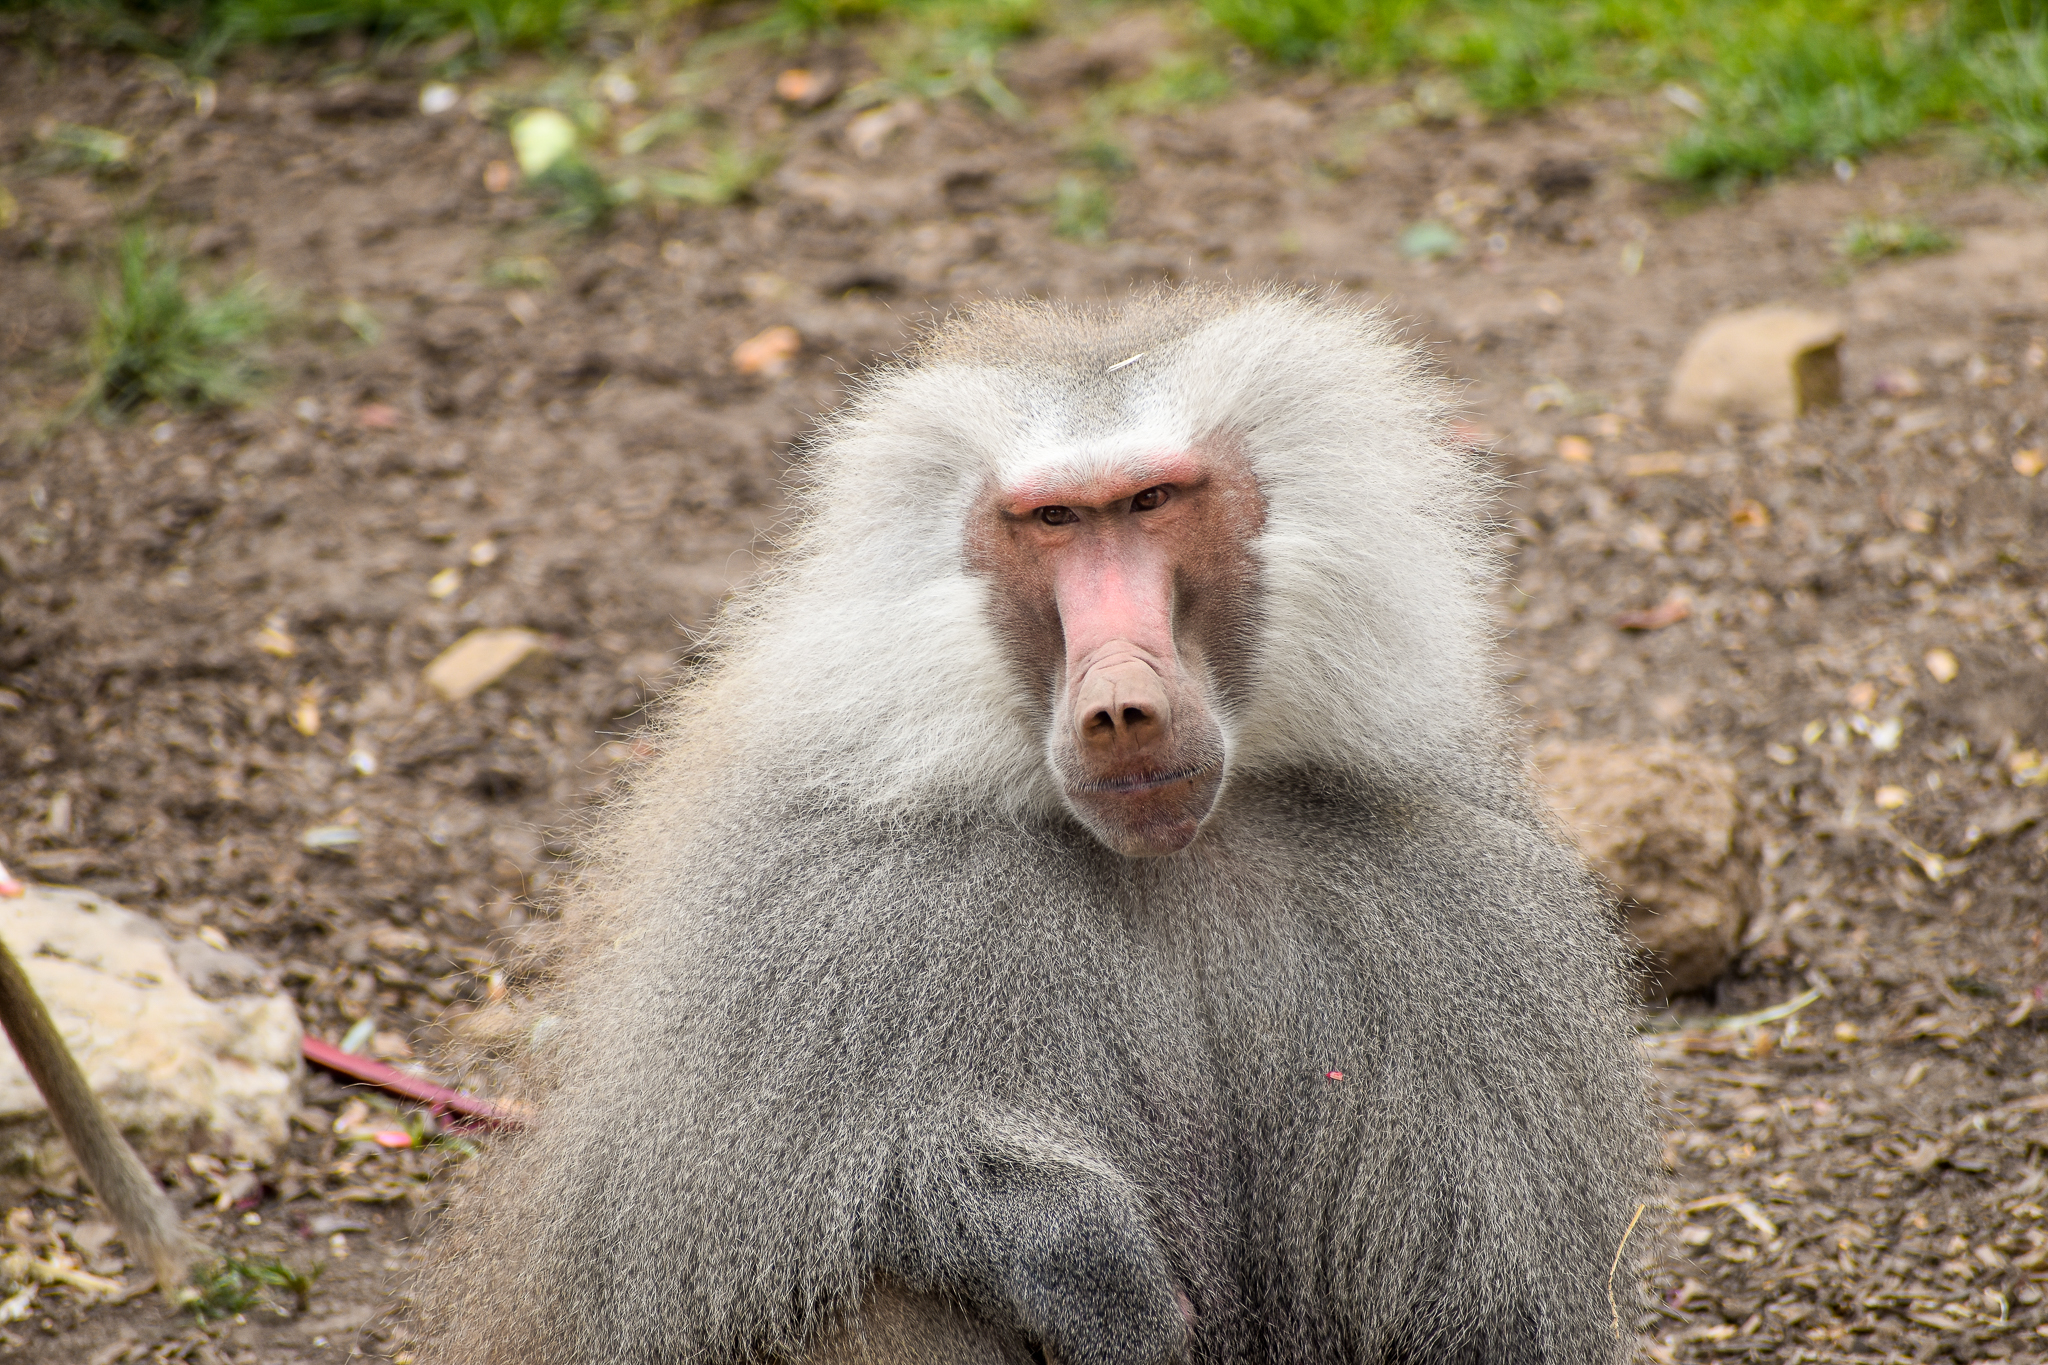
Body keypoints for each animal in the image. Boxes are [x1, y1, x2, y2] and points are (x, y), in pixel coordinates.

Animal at [419, 286, 1656, 1365]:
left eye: (1152, 502)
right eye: (1052, 522)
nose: (1120, 709)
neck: (1169, 863)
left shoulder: (1460, 909)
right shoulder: (817, 907)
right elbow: (710, 1229)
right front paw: (1092, 1272)